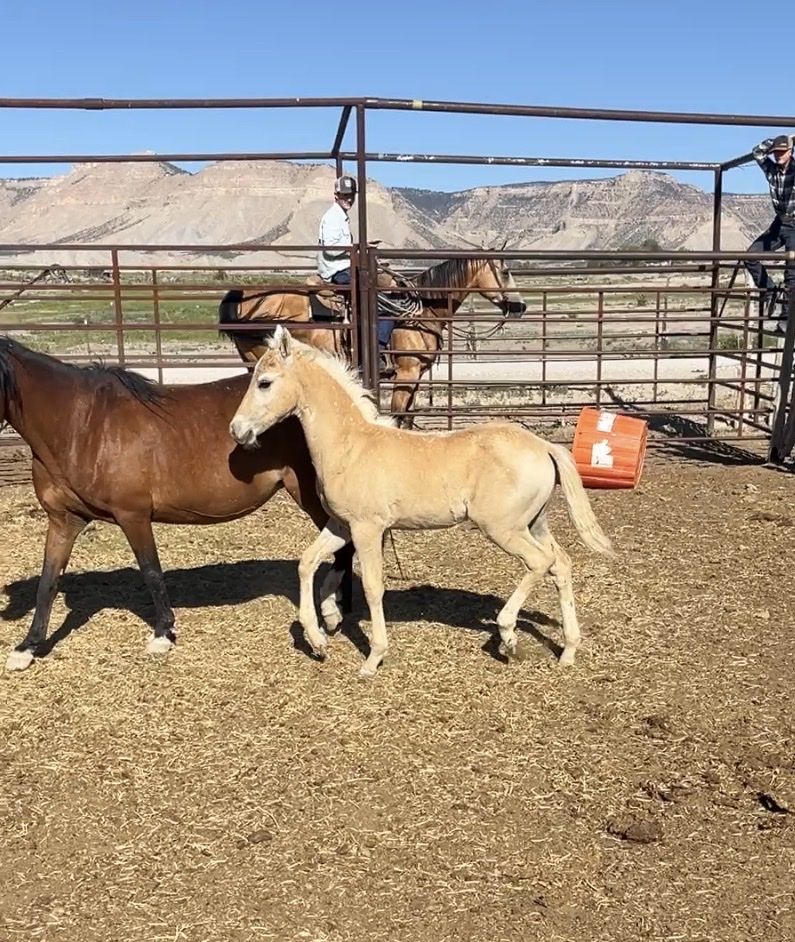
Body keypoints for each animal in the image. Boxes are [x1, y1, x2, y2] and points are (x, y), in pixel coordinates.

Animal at [0, 338, 352, 672]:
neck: (82, 426)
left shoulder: (133, 515)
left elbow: (151, 571)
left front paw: (162, 635)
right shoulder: (64, 520)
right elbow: (47, 582)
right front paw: (26, 648)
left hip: (311, 494)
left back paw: (331, 612)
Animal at [218, 256, 527, 427]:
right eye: (506, 271)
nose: (520, 306)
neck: (422, 311)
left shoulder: (417, 375)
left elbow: (409, 416)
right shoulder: (407, 372)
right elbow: (398, 414)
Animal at [229, 327, 613, 680]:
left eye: (264, 382)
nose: (237, 429)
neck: (351, 446)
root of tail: (544, 446)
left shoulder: (368, 528)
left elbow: (372, 586)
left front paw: (372, 658)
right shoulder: (342, 525)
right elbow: (308, 564)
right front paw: (321, 634)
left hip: (503, 527)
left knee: (540, 562)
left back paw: (507, 633)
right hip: (534, 523)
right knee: (561, 564)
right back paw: (568, 650)